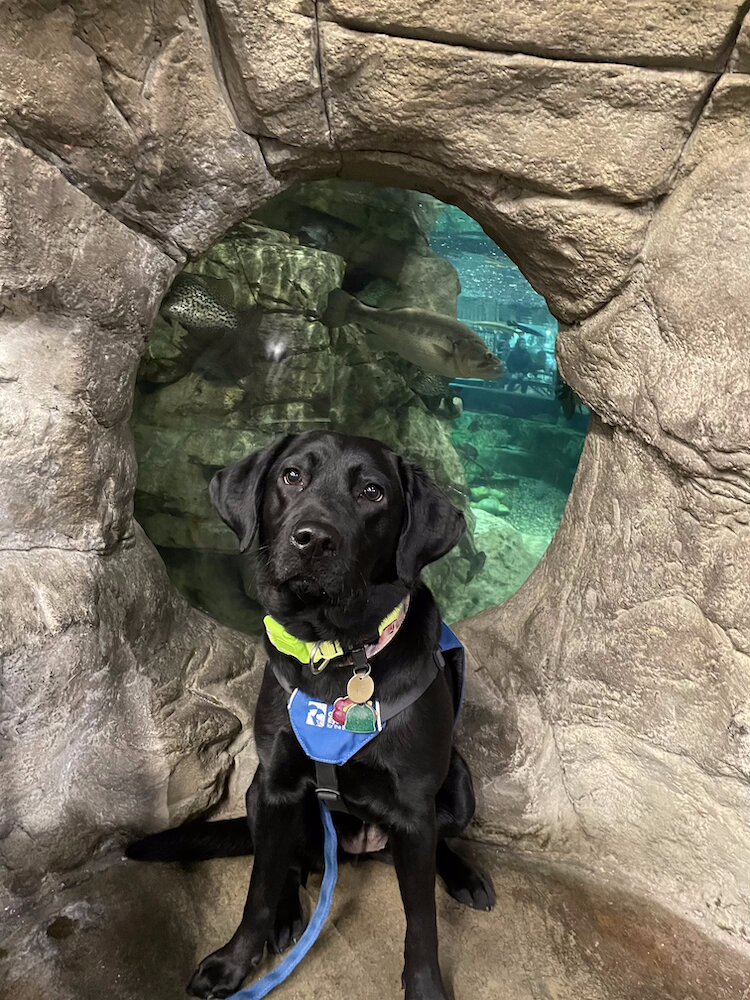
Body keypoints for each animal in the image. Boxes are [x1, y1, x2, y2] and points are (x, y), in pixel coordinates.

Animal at [128, 432, 494, 1000]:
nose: (313, 540)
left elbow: (421, 922)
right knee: (291, 863)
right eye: (292, 476)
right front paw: (233, 962)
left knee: (438, 844)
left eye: (372, 492)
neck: (336, 653)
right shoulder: (277, 784)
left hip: (460, 785)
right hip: (257, 794)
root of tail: (359, 845)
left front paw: (425, 988)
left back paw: (464, 876)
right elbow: (258, 889)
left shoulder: (415, 809)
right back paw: (284, 918)